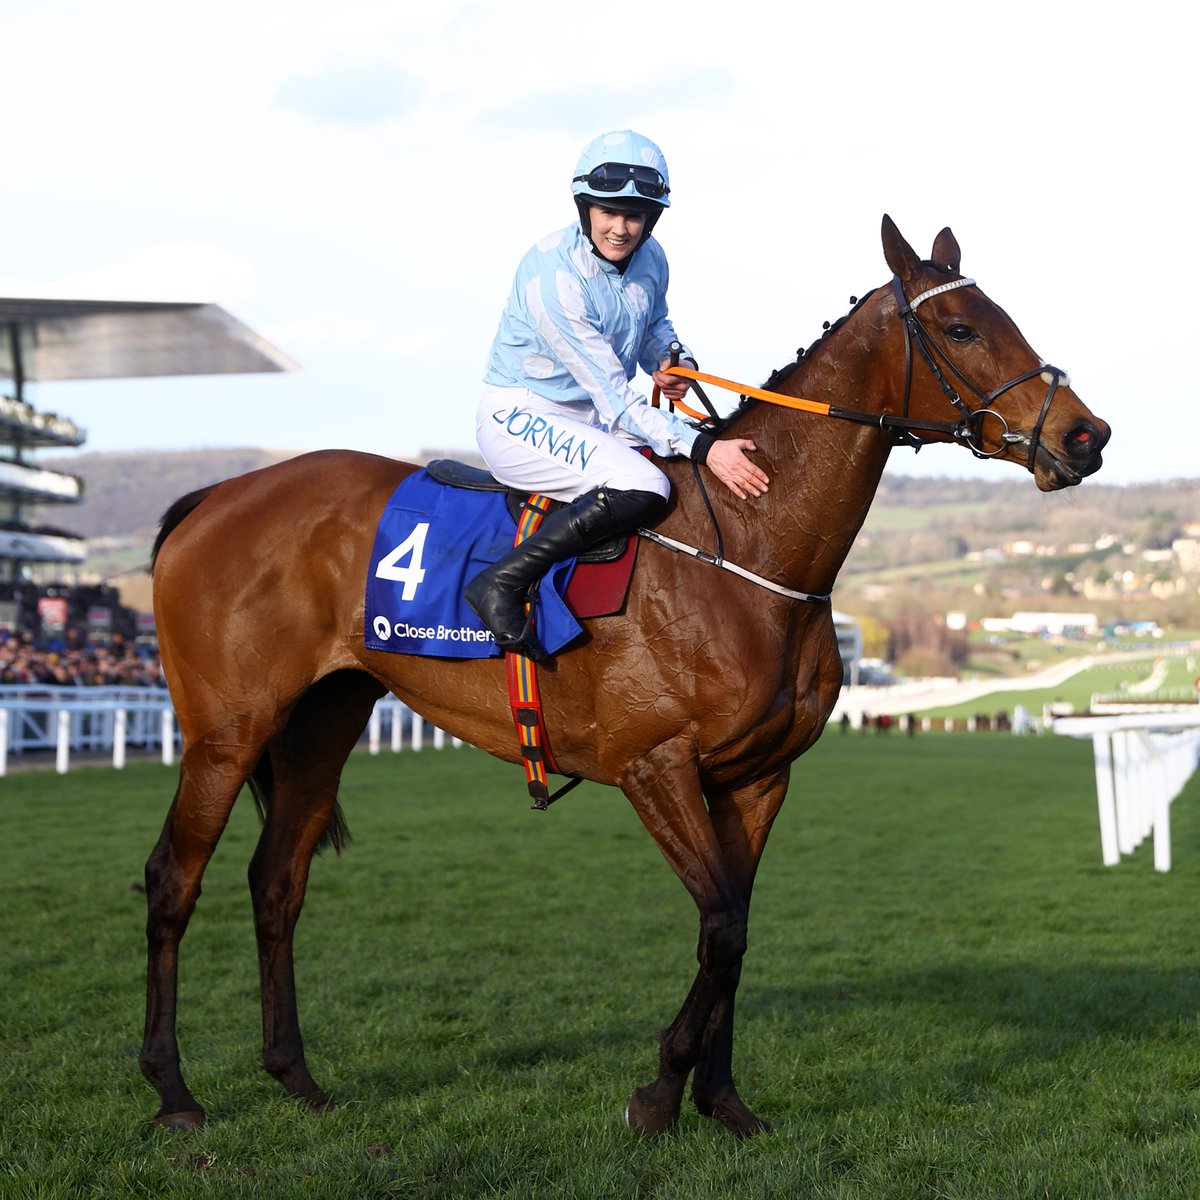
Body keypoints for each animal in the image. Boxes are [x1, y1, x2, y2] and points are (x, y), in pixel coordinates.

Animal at [139, 216, 1109, 1136]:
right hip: (227, 730)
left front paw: (721, 1101)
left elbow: (736, 931)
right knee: (173, 879)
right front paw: (659, 1093)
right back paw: (174, 1093)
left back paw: (296, 1080)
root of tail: (215, 497)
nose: (1086, 434)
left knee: (277, 883)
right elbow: (720, 928)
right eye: (961, 327)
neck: (749, 550)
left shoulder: (757, 778)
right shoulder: (655, 765)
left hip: (323, 719)